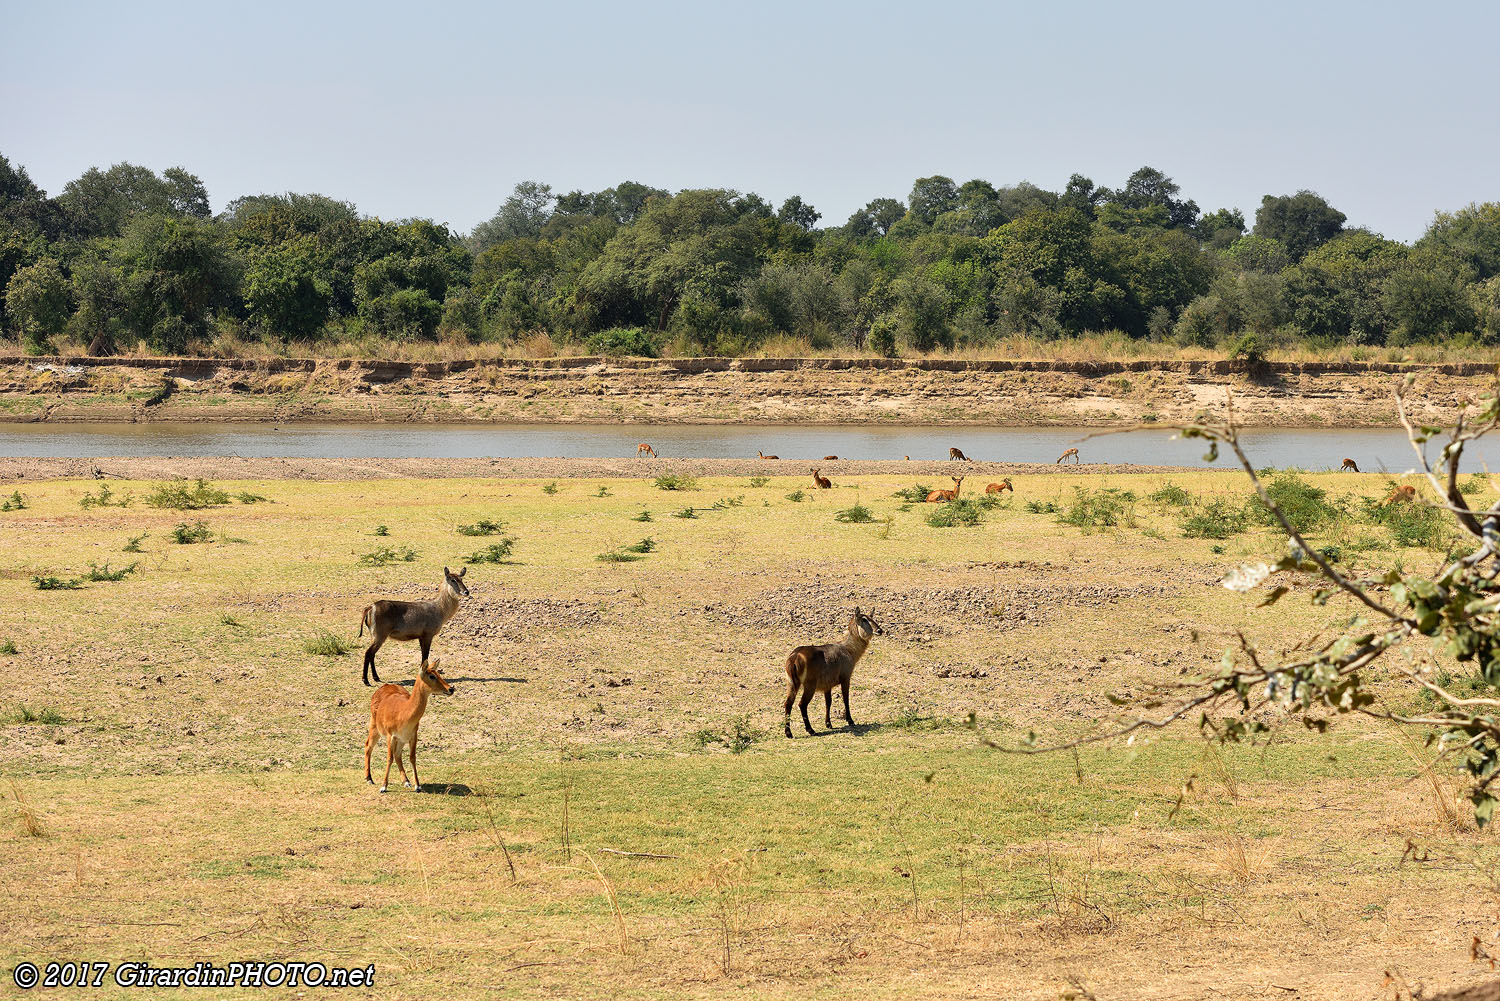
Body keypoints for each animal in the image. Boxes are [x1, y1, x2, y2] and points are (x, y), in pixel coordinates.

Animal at [366, 660, 453, 792]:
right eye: (431, 676)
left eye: (438, 673)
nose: (451, 688)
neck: (404, 714)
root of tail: (383, 686)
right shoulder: (390, 736)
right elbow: (389, 758)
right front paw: (383, 787)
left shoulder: (412, 736)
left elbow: (412, 757)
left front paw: (417, 785)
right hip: (375, 728)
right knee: (368, 746)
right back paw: (369, 779)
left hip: (401, 740)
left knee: (398, 755)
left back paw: (406, 781)